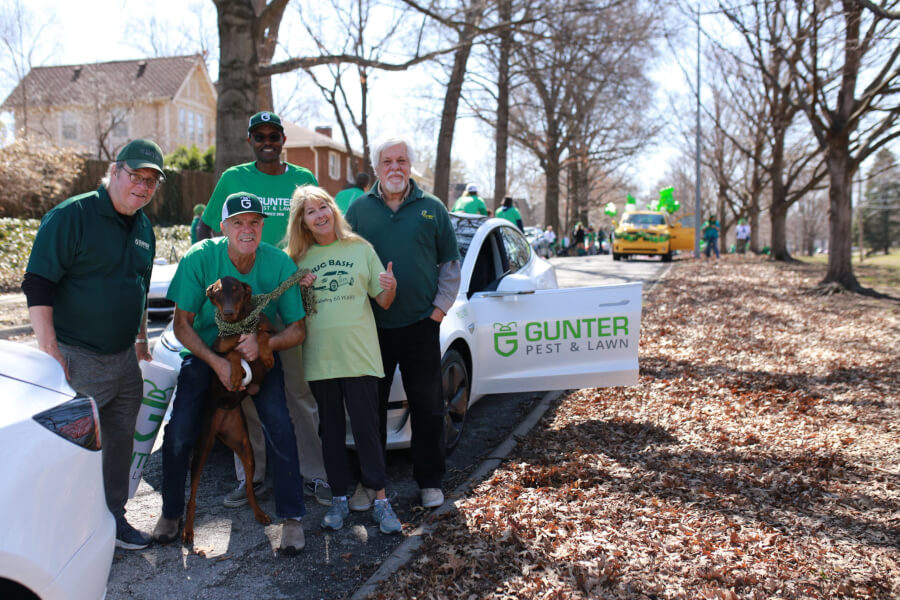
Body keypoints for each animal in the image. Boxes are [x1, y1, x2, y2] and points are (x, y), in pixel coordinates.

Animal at [184, 276, 278, 544]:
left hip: (245, 446)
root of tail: (224, 413)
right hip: (202, 447)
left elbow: (261, 336)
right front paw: (235, 373)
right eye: (217, 292)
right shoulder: (218, 349)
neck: (238, 325)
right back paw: (188, 532)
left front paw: (265, 354)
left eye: (235, 290)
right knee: (192, 497)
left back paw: (259, 514)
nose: (226, 313)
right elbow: (233, 352)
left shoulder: (269, 330)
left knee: (249, 488)